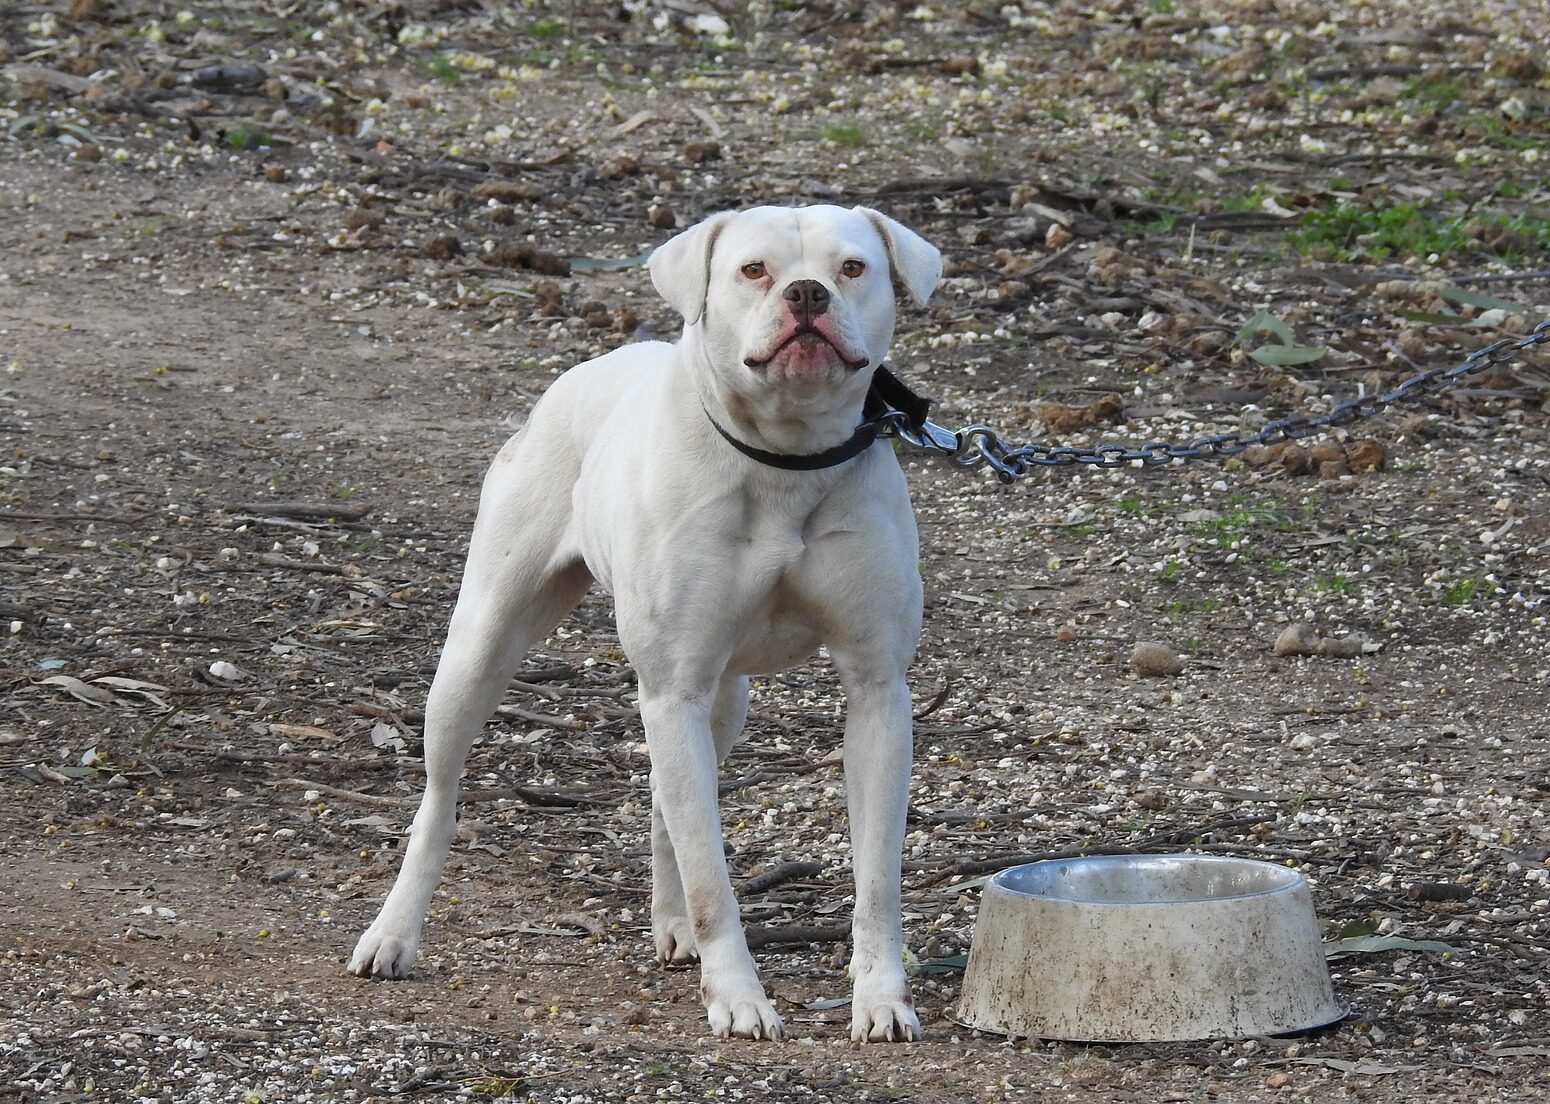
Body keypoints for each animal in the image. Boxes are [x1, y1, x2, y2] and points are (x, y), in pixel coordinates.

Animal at [345, 207, 936, 1041]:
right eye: (754, 269)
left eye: (853, 268)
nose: (807, 293)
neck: (784, 459)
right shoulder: (673, 686)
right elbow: (713, 876)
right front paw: (740, 998)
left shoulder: (877, 690)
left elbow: (876, 875)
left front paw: (882, 999)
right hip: (481, 648)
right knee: (440, 798)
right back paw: (394, 933)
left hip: (720, 698)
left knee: (669, 799)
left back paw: (675, 927)